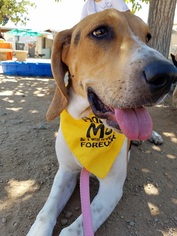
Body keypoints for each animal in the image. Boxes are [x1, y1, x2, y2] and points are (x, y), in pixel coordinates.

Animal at [26, 8, 177, 234]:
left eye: (148, 37)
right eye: (100, 32)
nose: (168, 75)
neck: (88, 122)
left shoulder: (111, 188)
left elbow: (73, 229)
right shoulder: (66, 171)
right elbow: (45, 214)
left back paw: (152, 136)